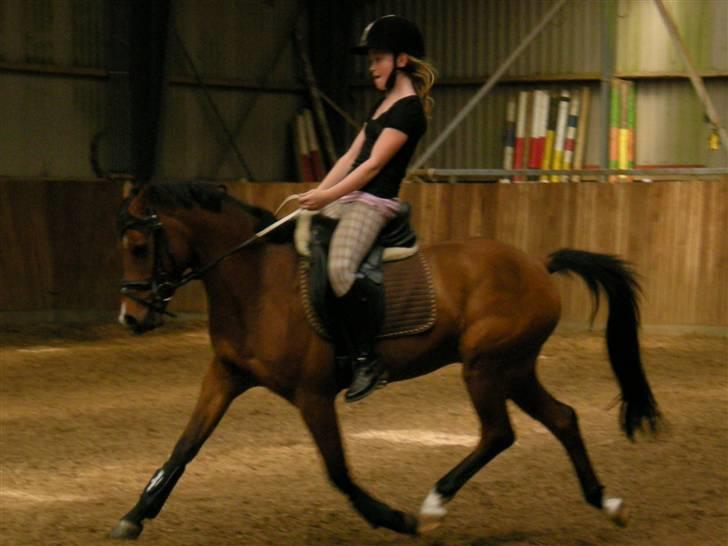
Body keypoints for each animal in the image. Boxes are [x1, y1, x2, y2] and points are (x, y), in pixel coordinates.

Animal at [110, 180, 660, 540]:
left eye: (138, 245)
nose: (130, 318)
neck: (258, 282)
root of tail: (538, 266)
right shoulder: (225, 374)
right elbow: (185, 446)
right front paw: (134, 515)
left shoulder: (312, 395)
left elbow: (337, 470)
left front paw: (393, 518)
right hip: (515, 368)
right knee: (562, 419)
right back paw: (608, 503)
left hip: (485, 367)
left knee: (499, 433)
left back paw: (432, 507)